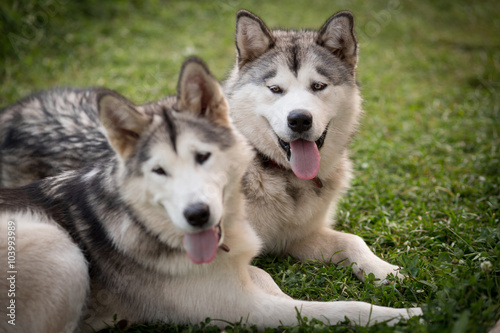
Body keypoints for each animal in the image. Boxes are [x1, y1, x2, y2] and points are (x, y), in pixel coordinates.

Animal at [0, 57, 422, 332]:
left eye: (203, 157)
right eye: (159, 171)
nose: (198, 214)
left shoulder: (295, 240)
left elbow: (349, 242)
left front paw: (387, 272)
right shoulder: (243, 308)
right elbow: (338, 309)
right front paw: (405, 315)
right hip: (60, 250)